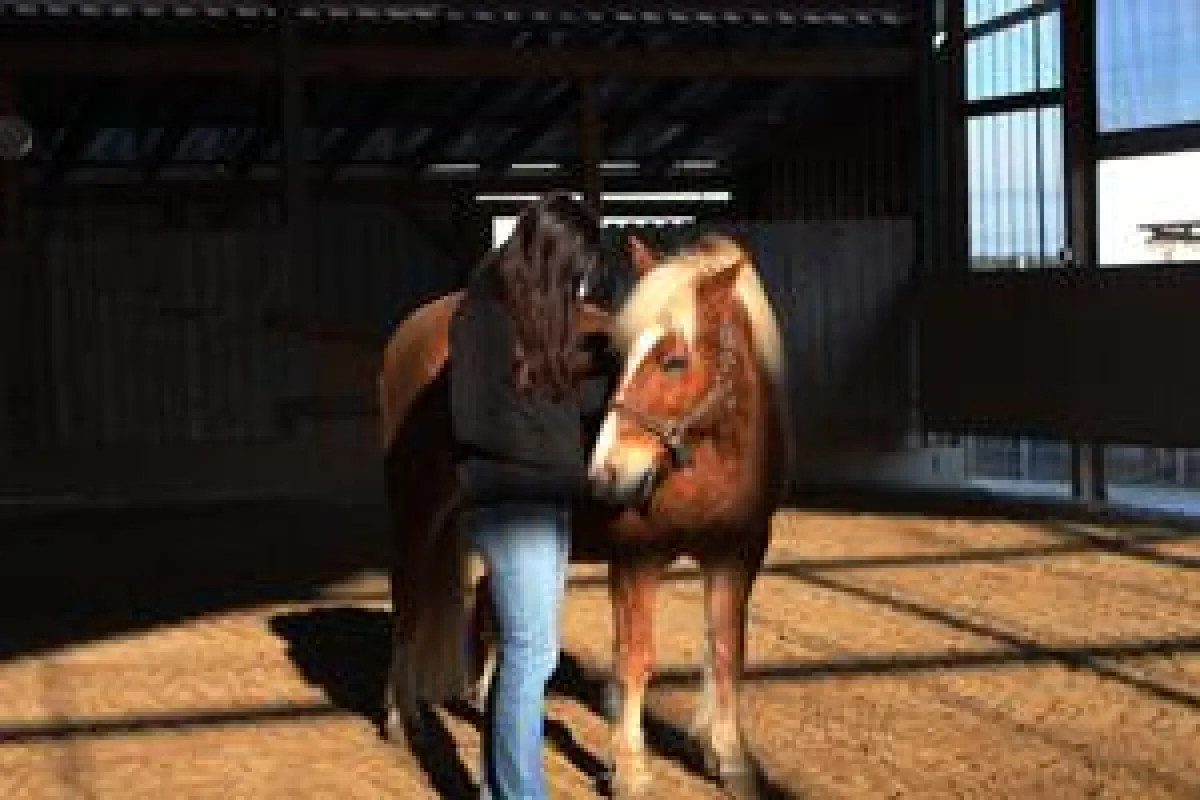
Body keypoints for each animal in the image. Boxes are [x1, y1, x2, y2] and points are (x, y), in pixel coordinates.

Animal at [378, 232, 792, 799]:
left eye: (675, 360)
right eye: (619, 355)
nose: (606, 475)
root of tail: (412, 330)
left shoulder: (737, 555)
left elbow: (729, 650)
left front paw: (732, 762)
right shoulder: (638, 559)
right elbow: (635, 658)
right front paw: (631, 768)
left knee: (488, 607)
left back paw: (482, 701)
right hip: (417, 511)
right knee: (409, 605)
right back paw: (403, 719)